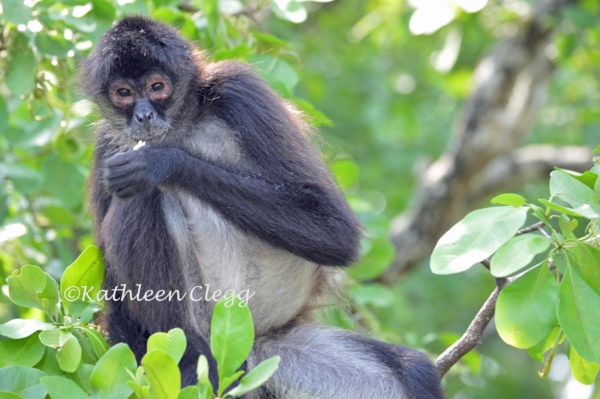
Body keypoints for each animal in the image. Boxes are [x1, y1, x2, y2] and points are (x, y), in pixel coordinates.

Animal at [82, 16, 442, 399]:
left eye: (157, 86)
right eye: (124, 93)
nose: (144, 116)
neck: (181, 127)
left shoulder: (238, 89)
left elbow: (336, 232)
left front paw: (160, 162)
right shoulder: (107, 143)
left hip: (274, 349)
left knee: (410, 371)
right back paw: (191, 357)